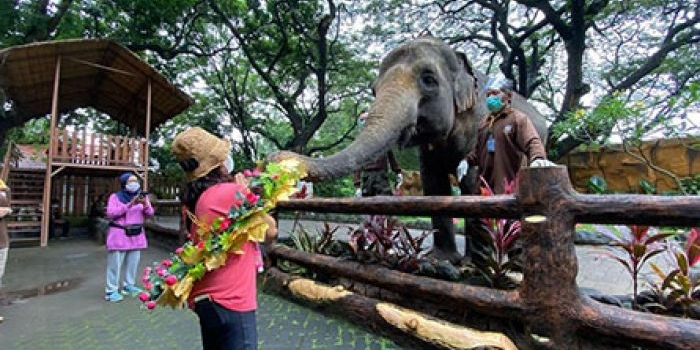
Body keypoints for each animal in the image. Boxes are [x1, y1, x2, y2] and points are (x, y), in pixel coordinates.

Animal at [270, 36, 548, 262]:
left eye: (428, 80)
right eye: (373, 89)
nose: (278, 156)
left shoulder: (477, 122)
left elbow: (471, 179)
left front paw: (471, 265)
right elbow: (433, 183)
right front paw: (442, 260)